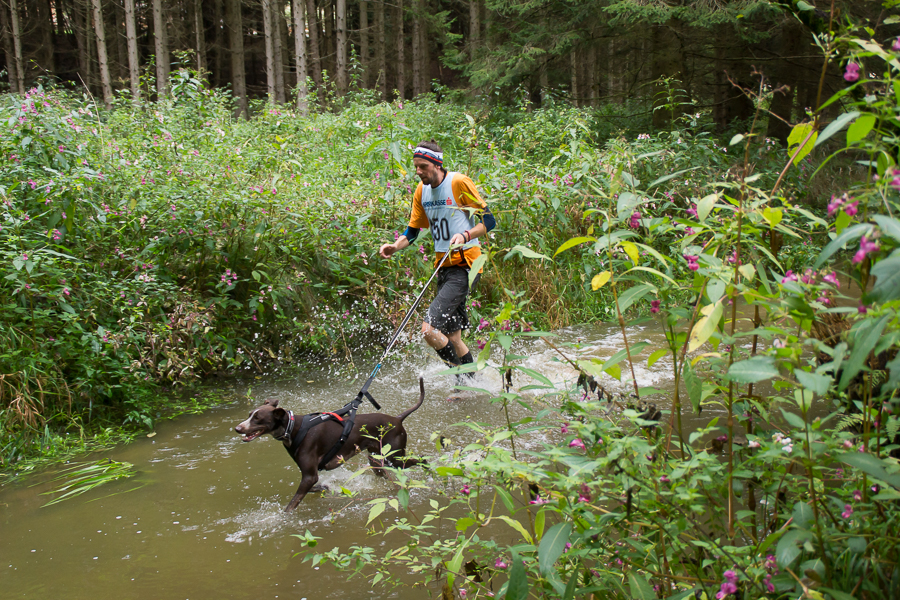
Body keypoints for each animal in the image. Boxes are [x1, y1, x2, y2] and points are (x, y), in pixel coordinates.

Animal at [234, 376, 428, 510]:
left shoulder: (309, 475)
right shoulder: (311, 476)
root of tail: (397, 419)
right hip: (377, 460)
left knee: (421, 459)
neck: (293, 428)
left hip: (393, 458)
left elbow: (291, 504)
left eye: (258, 418)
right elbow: (316, 487)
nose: (237, 428)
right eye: (250, 414)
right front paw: (325, 487)